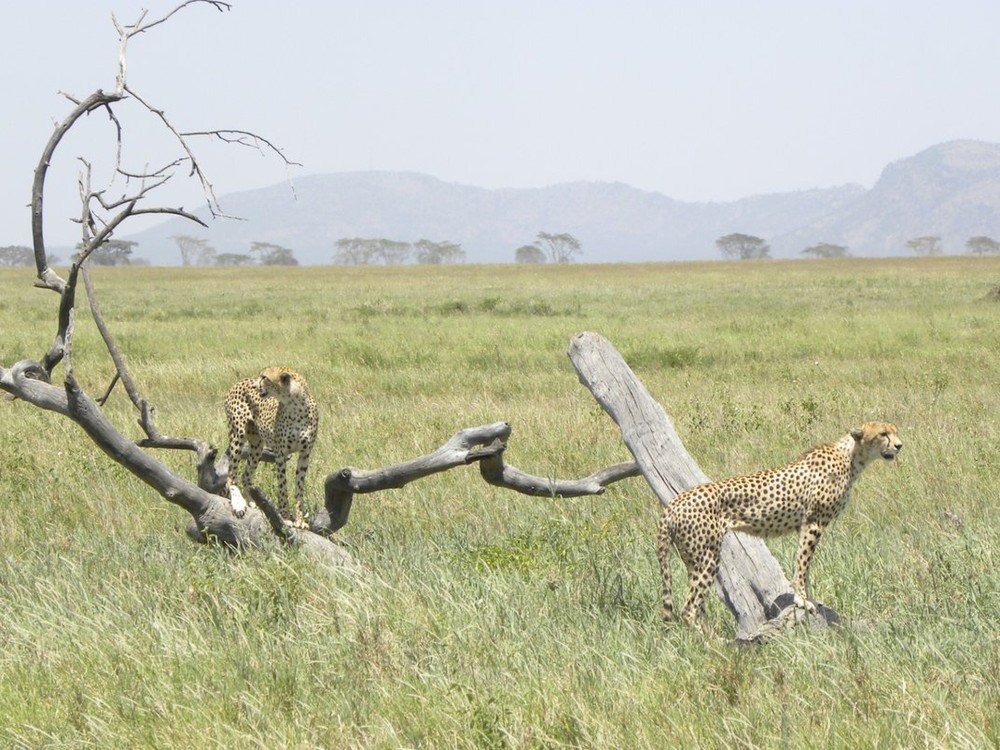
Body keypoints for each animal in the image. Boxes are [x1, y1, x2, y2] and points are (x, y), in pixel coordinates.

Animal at [225, 368, 318, 524]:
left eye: (265, 377)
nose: (254, 386)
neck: (296, 404)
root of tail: (238, 382)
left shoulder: (305, 454)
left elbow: (299, 489)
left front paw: (300, 521)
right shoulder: (280, 454)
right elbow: (282, 487)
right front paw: (286, 518)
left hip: (257, 445)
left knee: (246, 476)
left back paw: (252, 503)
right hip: (238, 435)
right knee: (231, 474)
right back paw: (238, 504)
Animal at [660, 424, 904, 628]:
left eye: (894, 431)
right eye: (883, 433)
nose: (899, 445)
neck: (852, 456)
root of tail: (673, 502)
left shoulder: (806, 525)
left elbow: (804, 565)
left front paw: (808, 598)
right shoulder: (813, 522)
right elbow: (803, 563)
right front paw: (802, 600)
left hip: (692, 558)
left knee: (695, 603)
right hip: (707, 557)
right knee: (689, 609)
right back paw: (713, 643)